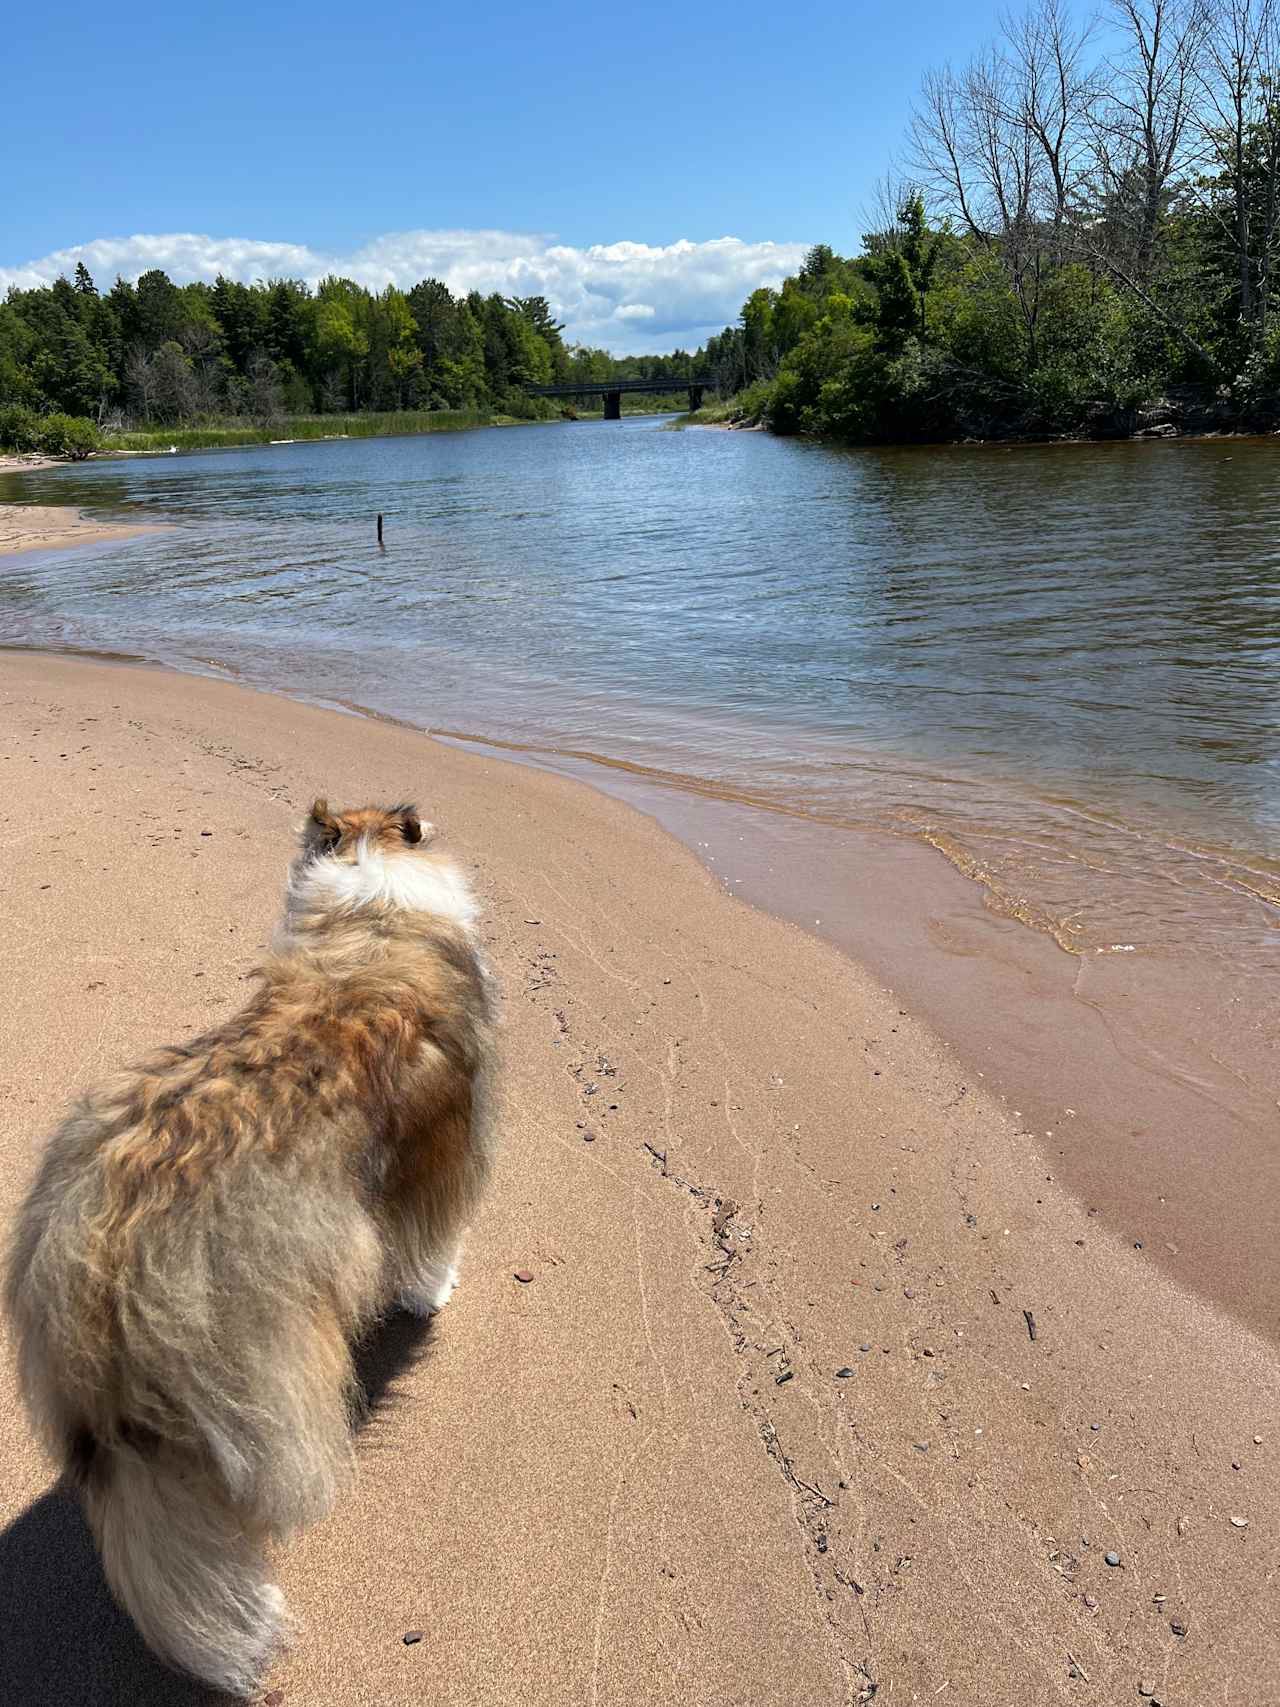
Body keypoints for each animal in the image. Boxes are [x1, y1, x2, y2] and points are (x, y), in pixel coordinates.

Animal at [2, 798, 498, 1693]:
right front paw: (432, 1292)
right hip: (260, 1351)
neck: (373, 912)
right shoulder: (442, 1157)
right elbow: (432, 1242)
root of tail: (97, 1245)